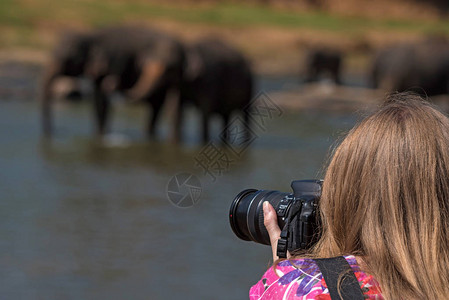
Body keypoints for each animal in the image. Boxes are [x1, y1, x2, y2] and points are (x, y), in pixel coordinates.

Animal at [40, 25, 184, 138]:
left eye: (66, 59)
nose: (53, 132)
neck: (91, 37)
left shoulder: (115, 63)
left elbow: (103, 100)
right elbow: (98, 100)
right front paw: (98, 135)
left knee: (156, 105)